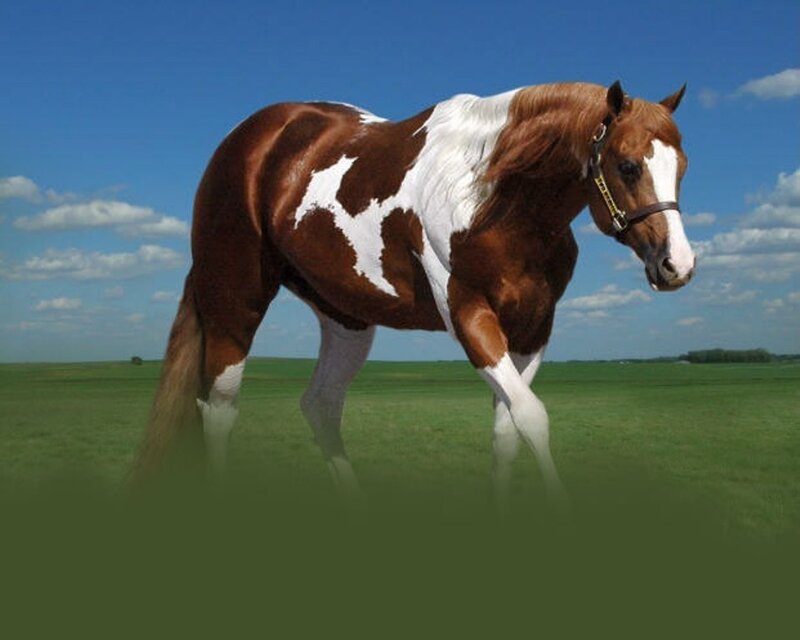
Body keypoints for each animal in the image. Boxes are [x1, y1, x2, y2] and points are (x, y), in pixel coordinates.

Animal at [134, 80, 695, 509]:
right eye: (627, 165)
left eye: (682, 167)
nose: (678, 265)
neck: (493, 200)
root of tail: (250, 139)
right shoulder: (469, 315)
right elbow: (533, 419)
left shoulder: (534, 327)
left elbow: (509, 428)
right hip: (234, 302)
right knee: (219, 409)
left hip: (346, 319)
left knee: (320, 405)